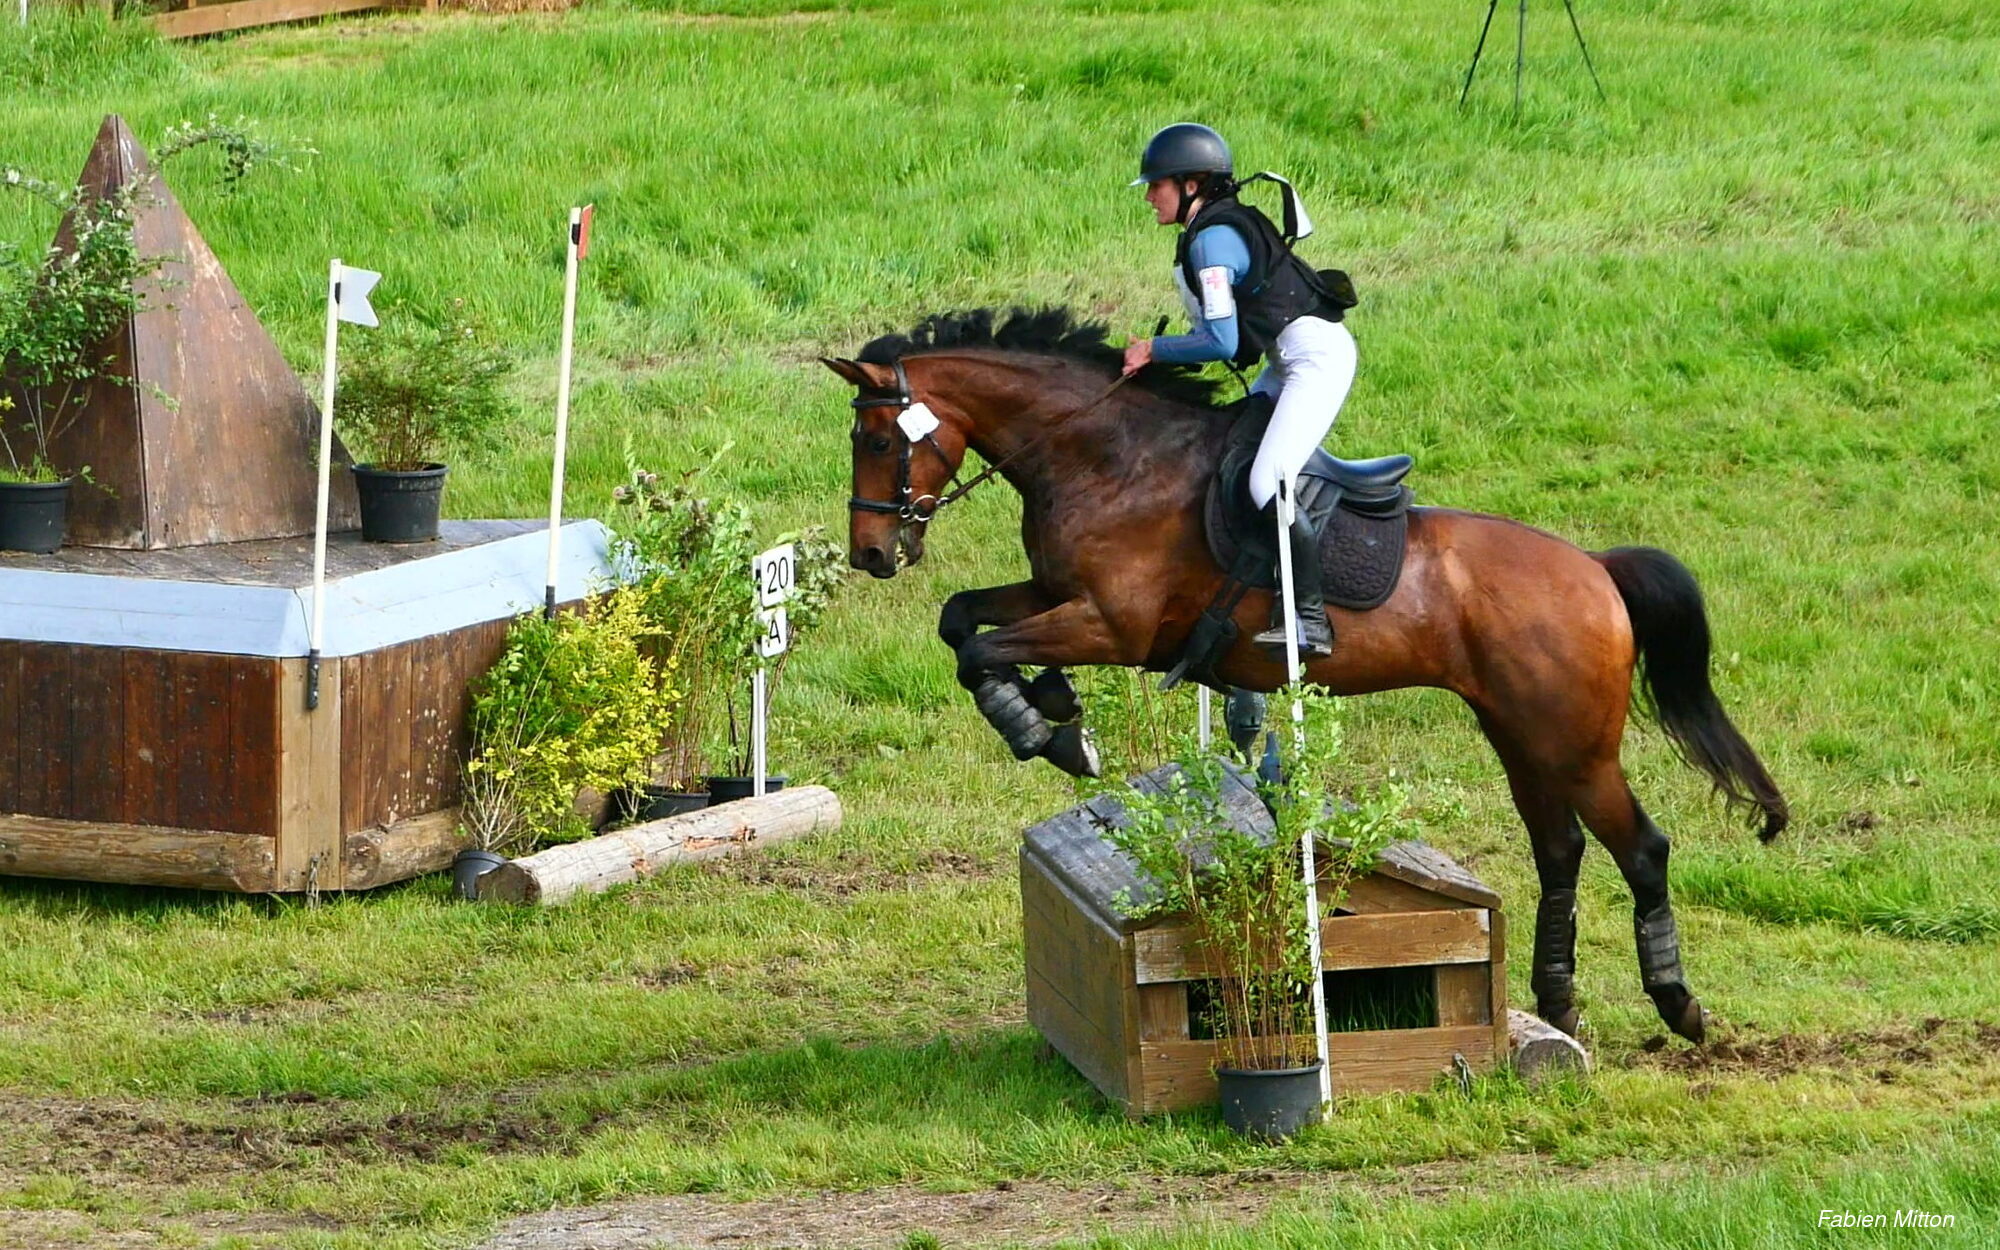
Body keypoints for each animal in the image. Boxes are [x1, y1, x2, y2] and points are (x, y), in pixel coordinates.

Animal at [822, 307, 1787, 1044]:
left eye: (875, 436)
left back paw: (1679, 1005)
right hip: (1521, 736)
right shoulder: (1058, 598)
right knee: (1560, 851)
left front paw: (1048, 731)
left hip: (1576, 745)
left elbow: (983, 650)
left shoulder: (1108, 624)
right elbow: (962, 619)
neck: (1105, 457)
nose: (868, 553)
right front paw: (1055, 710)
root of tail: (1594, 570)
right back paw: (1557, 1004)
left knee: (1642, 850)